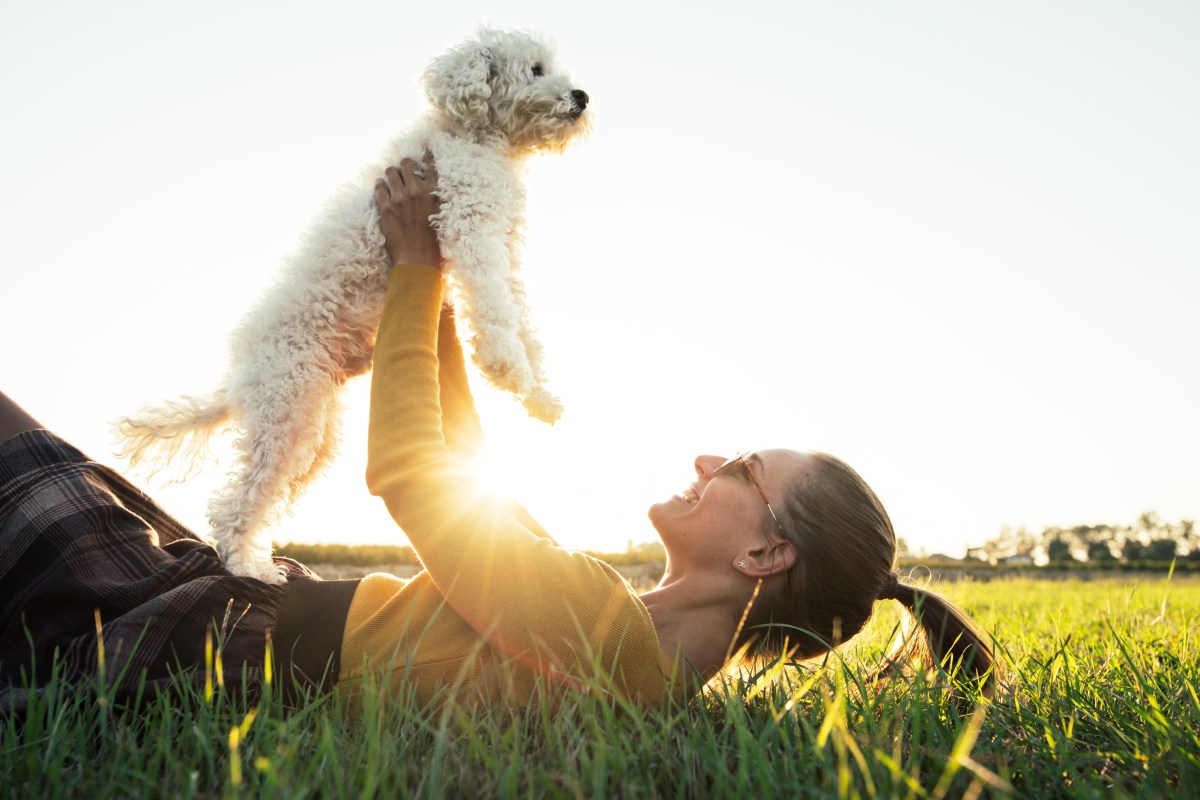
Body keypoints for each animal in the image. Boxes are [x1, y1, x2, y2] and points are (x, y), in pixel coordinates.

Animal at [117, 29, 590, 582]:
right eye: (536, 69)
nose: (582, 97)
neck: (476, 138)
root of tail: (240, 376)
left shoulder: (504, 245)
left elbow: (522, 320)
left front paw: (540, 394)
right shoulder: (470, 227)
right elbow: (497, 316)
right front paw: (508, 373)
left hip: (312, 428)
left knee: (267, 494)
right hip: (287, 413)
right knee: (238, 503)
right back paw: (246, 569)